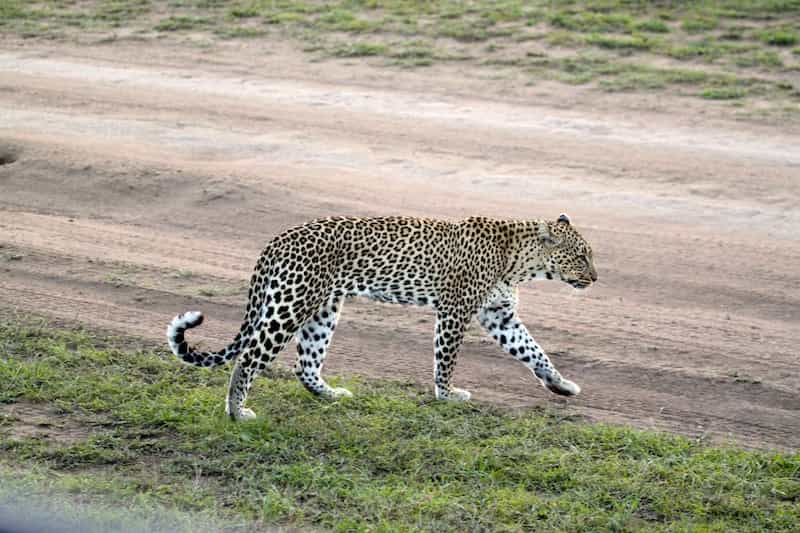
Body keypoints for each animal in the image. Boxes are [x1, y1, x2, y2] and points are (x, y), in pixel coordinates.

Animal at [167, 214, 597, 420]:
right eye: (581, 256)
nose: (595, 277)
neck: (520, 261)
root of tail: (277, 239)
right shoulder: (455, 310)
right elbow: (446, 359)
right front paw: (447, 395)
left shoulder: (500, 317)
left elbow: (534, 351)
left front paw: (561, 385)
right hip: (290, 305)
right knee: (248, 357)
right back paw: (237, 413)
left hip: (323, 309)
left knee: (305, 364)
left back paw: (329, 394)